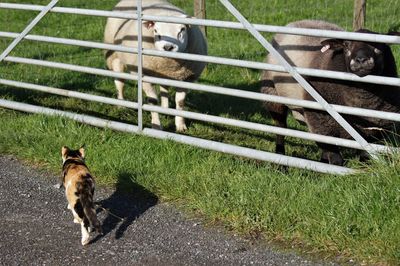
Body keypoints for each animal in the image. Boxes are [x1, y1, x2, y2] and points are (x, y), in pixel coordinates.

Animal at [104, 0, 208, 131]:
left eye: (182, 29)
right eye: (156, 31)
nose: (168, 47)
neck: (170, 64)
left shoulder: (185, 78)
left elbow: (180, 102)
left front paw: (180, 126)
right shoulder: (145, 77)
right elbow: (152, 101)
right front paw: (156, 126)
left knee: (164, 89)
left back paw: (165, 109)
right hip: (115, 57)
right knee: (120, 83)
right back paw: (122, 105)